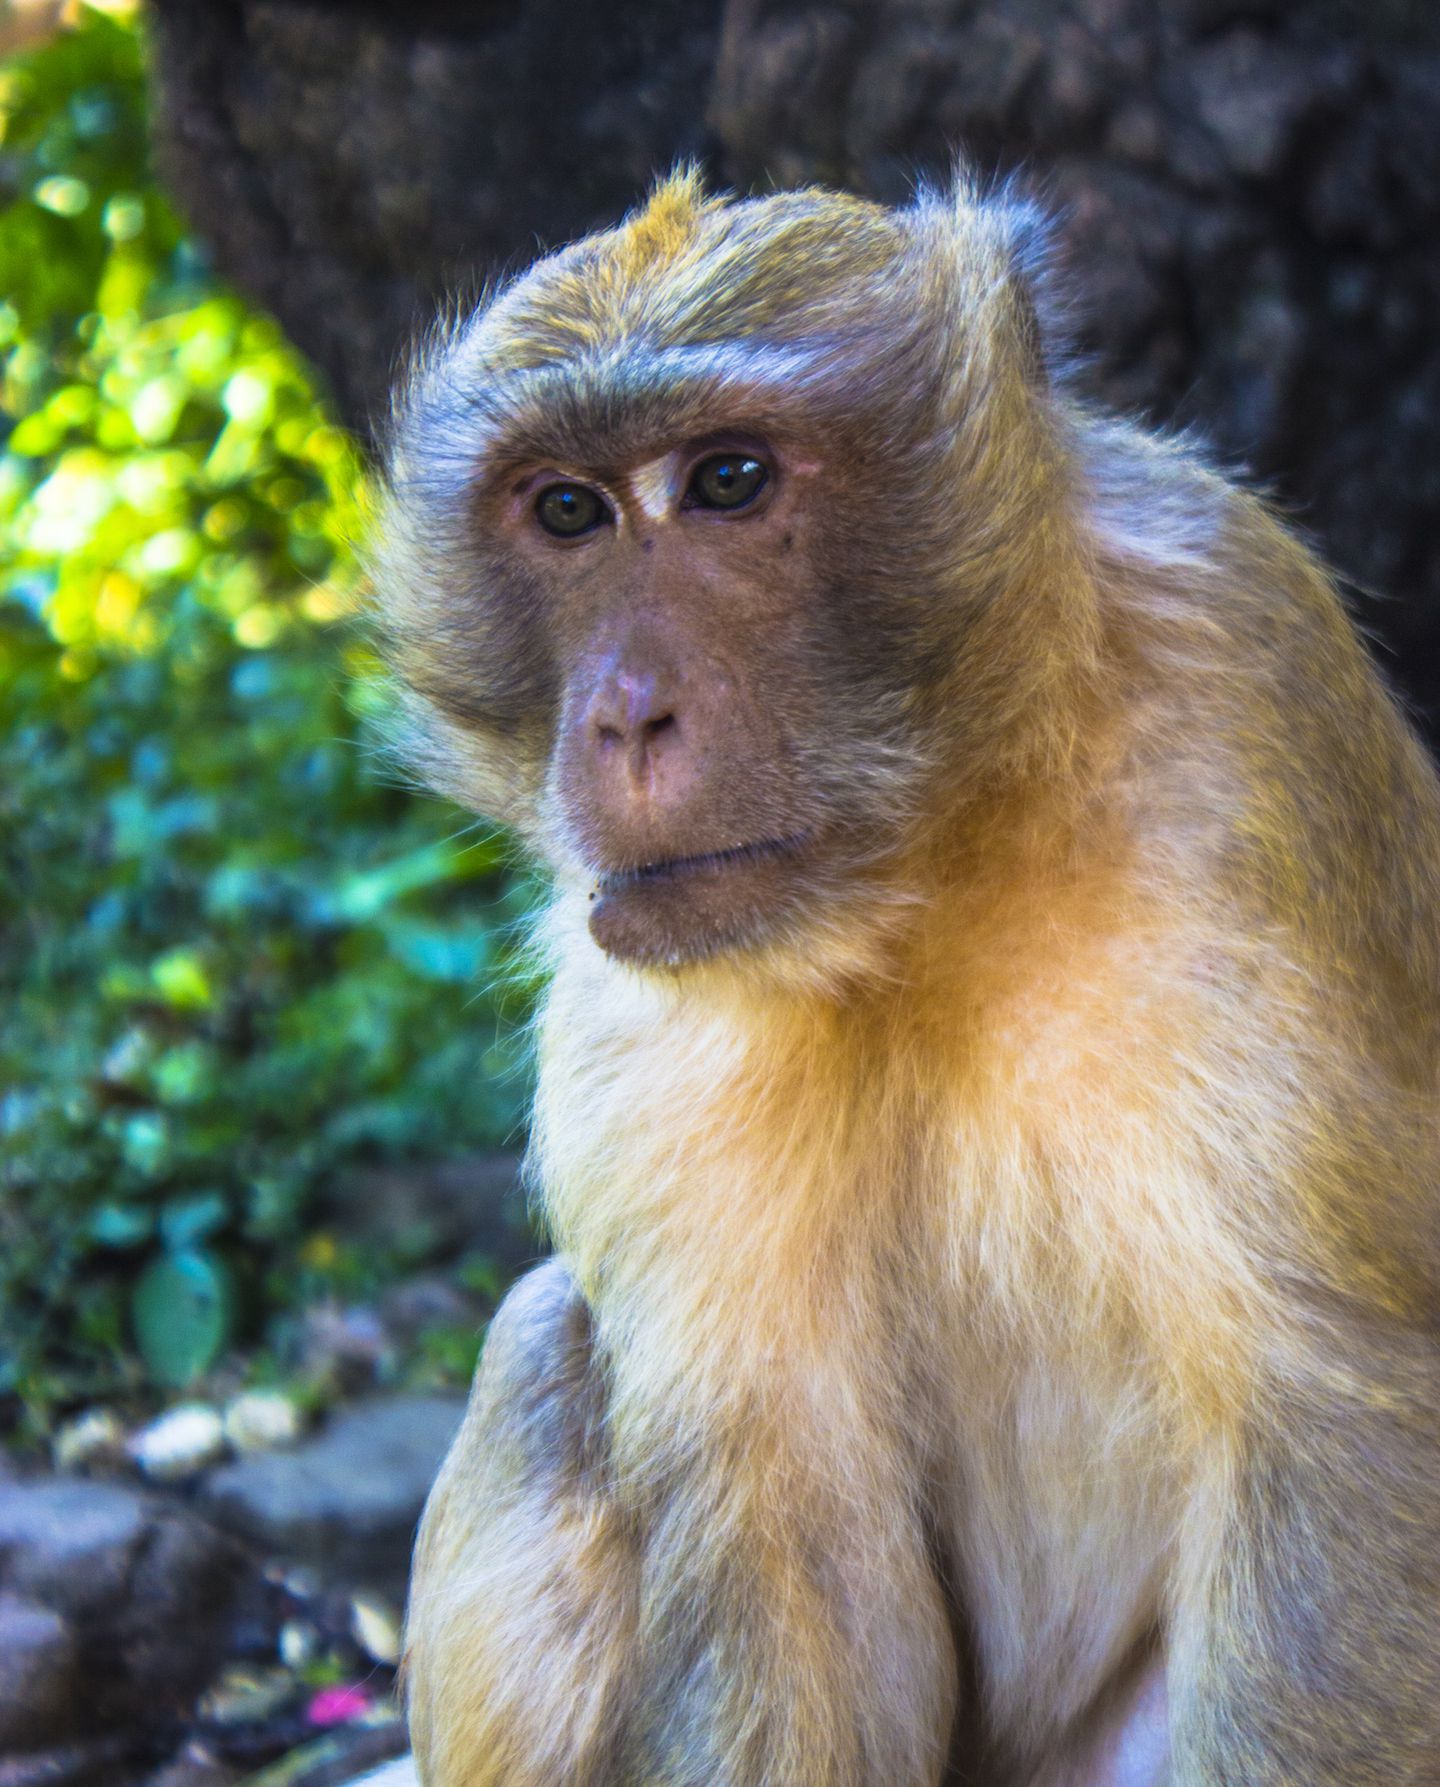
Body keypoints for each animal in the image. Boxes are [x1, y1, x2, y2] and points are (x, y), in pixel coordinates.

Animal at [370, 167, 1440, 1786]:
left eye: (729, 480)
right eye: (566, 510)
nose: (625, 716)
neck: (935, 864)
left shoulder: (1244, 709)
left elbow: (1329, 1414)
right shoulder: (639, 993)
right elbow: (785, 1529)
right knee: (546, 1340)